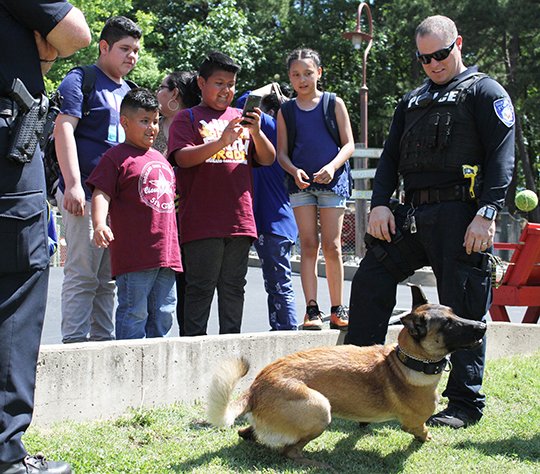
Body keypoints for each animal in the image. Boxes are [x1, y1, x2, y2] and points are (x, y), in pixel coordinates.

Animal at [206, 286, 486, 464]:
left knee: (248, 434)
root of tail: (255, 389)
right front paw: (427, 439)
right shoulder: (414, 423)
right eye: (449, 324)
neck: (406, 360)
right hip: (319, 408)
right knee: (288, 451)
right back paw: (314, 463)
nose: (483, 325)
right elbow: (422, 431)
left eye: (454, 313)